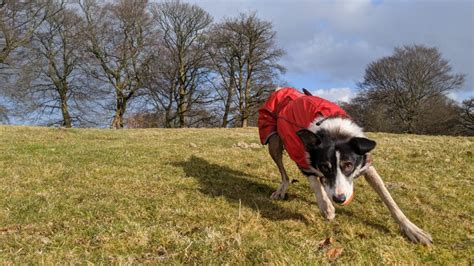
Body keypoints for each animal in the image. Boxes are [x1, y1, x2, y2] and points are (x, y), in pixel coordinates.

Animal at [260, 87, 434, 245]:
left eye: (349, 165)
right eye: (324, 167)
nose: (339, 199)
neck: (334, 132)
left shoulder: (366, 164)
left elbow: (388, 198)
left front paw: (412, 229)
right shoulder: (303, 158)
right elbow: (315, 182)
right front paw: (326, 206)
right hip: (273, 141)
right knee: (284, 173)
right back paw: (282, 190)